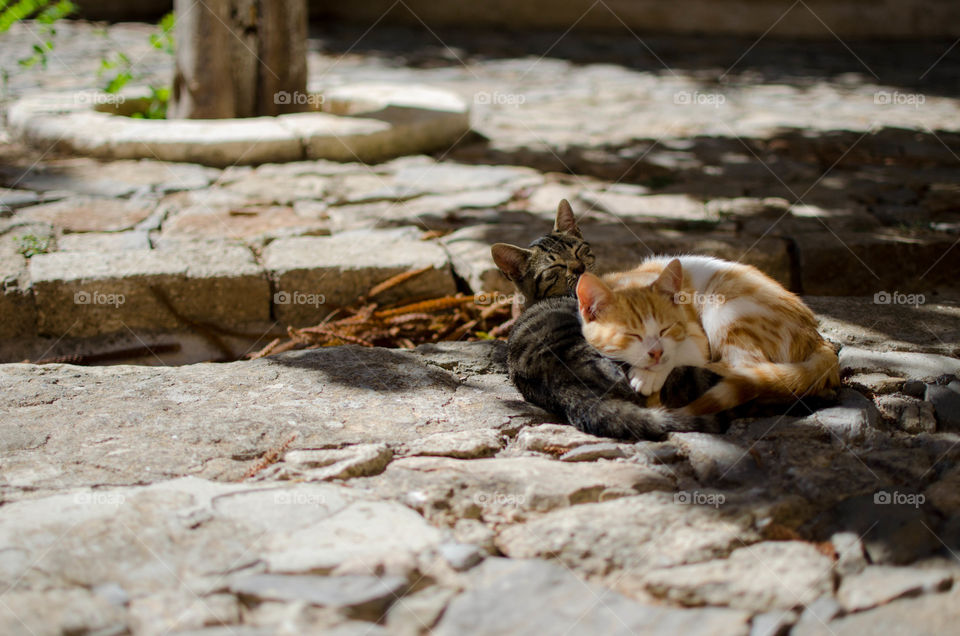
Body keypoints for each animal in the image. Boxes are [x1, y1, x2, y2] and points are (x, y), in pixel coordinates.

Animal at [576, 256, 840, 414]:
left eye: (666, 329)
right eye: (632, 335)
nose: (656, 352)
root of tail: (816, 336)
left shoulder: (697, 338)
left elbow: (680, 352)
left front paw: (648, 376)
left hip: (726, 306)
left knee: (750, 370)